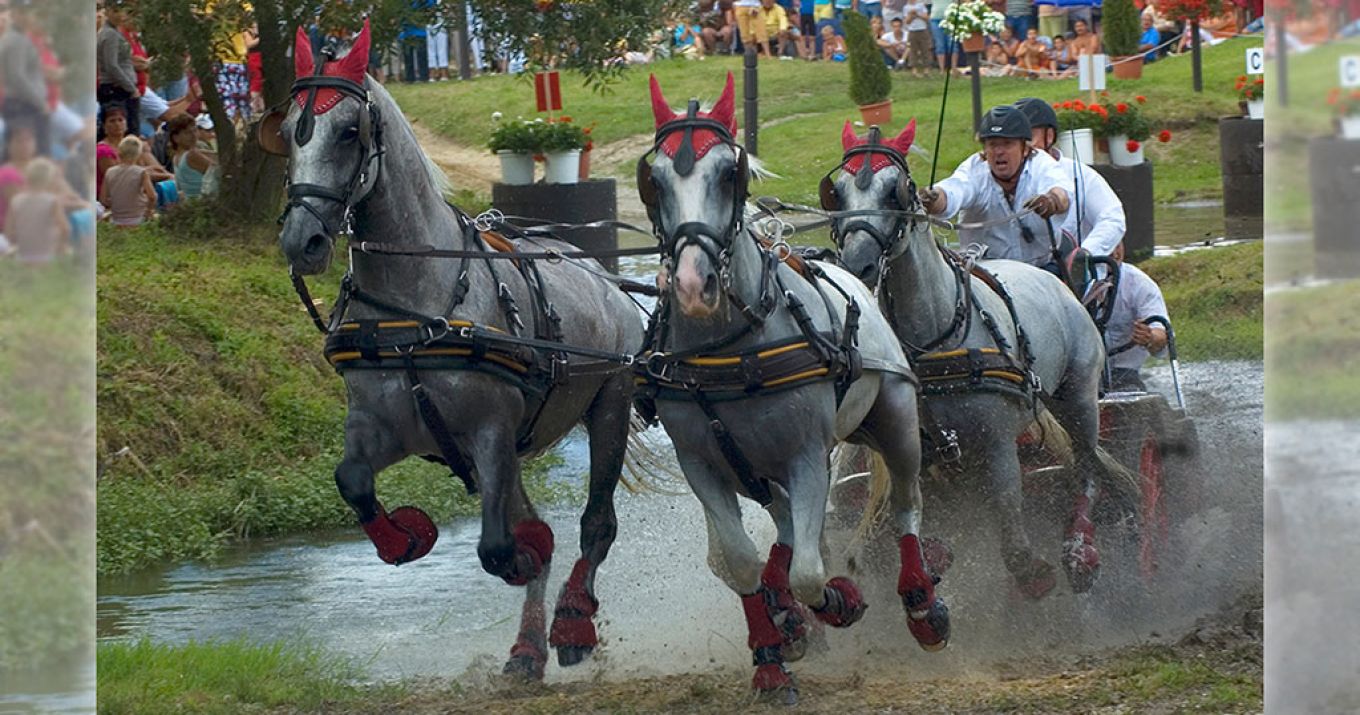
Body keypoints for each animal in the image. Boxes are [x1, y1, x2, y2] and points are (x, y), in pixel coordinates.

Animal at [272, 22, 647, 682]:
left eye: (349, 131)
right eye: (292, 128)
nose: (303, 240)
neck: (416, 305)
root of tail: (603, 276)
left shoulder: (491, 432)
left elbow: (499, 546)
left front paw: (525, 559)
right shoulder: (382, 426)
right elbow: (352, 481)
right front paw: (407, 536)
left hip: (610, 403)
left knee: (595, 526)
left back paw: (572, 619)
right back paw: (526, 648)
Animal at [636, 75, 946, 701]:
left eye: (729, 174)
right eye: (653, 180)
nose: (693, 286)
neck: (732, 347)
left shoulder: (807, 455)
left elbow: (807, 571)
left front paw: (837, 601)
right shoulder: (701, 465)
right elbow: (742, 561)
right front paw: (771, 657)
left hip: (895, 422)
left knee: (905, 505)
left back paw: (922, 606)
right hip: (762, 468)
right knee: (780, 528)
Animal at [826, 121, 1136, 600]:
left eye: (896, 191)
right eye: (836, 193)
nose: (857, 264)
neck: (932, 342)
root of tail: (1056, 280)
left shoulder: (998, 444)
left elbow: (1012, 536)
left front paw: (1035, 572)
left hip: (1079, 397)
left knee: (1085, 471)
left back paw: (1080, 551)